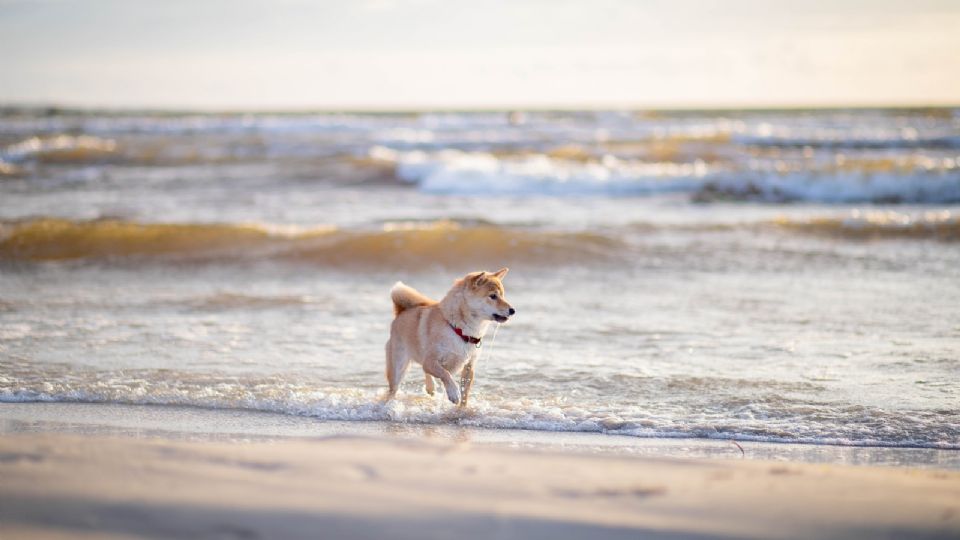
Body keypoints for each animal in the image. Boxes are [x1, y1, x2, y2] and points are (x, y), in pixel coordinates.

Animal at [384, 268, 512, 408]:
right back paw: (389, 404)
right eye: (493, 296)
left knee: (426, 374)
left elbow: (465, 393)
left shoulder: (469, 366)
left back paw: (430, 388)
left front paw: (462, 409)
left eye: (503, 295)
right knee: (393, 389)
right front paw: (453, 393)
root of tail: (401, 312)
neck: (460, 330)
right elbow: (446, 374)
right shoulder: (431, 362)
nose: (513, 310)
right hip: (398, 367)